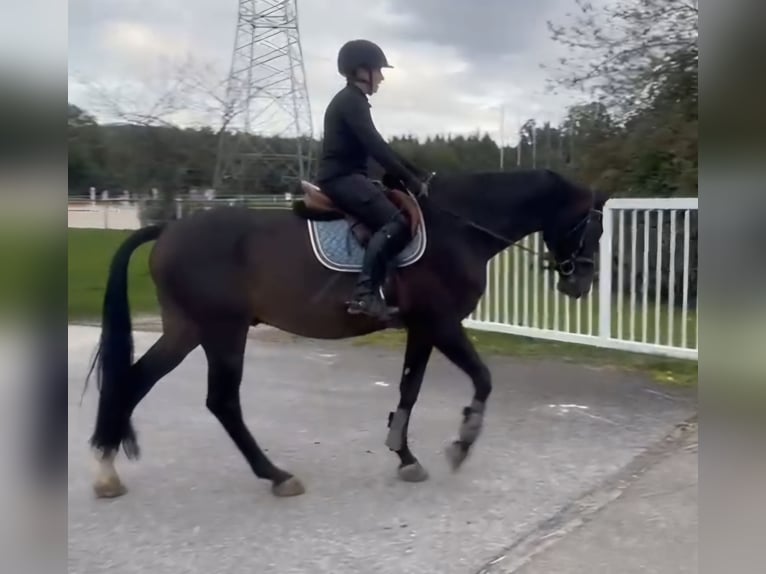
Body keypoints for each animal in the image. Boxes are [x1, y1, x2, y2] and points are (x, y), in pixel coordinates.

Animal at [84, 166, 608, 500]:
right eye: (592, 229)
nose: (579, 283)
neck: (457, 228)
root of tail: (168, 230)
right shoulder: (442, 323)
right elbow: (482, 378)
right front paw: (462, 443)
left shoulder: (422, 328)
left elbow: (410, 390)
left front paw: (405, 457)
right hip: (223, 332)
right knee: (222, 401)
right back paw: (277, 476)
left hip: (187, 329)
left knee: (134, 381)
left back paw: (106, 471)